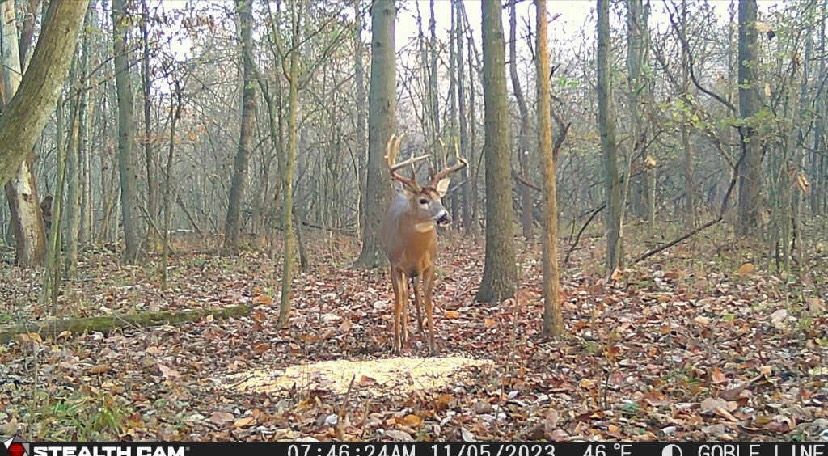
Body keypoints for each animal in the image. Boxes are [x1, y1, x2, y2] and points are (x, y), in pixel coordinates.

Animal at [380, 134, 467, 355]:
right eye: (422, 200)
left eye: (440, 198)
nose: (445, 216)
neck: (414, 250)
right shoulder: (395, 264)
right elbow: (398, 301)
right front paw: (396, 344)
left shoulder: (430, 264)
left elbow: (428, 300)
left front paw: (433, 345)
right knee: (404, 294)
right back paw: (405, 334)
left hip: (416, 270)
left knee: (415, 289)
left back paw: (419, 327)